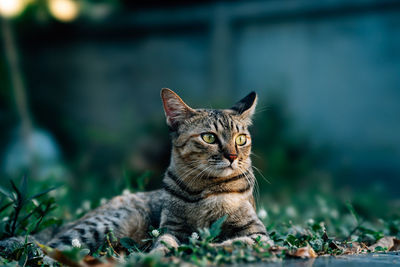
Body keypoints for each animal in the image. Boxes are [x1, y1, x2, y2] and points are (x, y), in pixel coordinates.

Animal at [0, 89, 272, 256]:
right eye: (209, 138)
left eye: (241, 139)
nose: (233, 157)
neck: (205, 190)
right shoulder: (171, 229)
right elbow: (164, 243)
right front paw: (161, 254)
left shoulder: (257, 233)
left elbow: (237, 242)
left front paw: (207, 247)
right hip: (104, 224)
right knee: (46, 245)